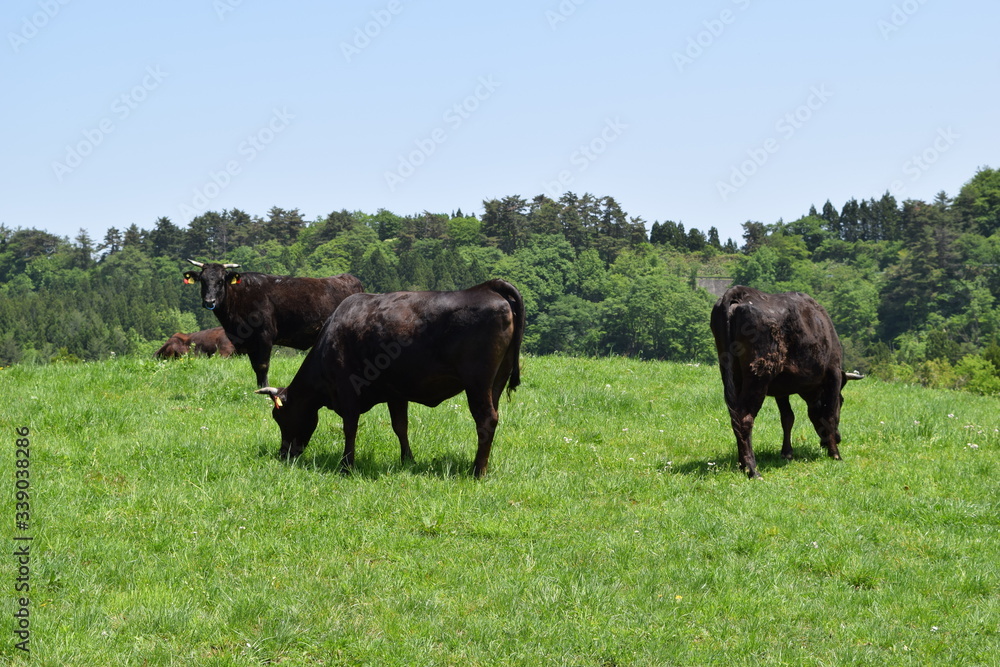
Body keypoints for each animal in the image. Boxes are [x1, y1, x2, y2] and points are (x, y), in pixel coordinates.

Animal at [184, 260, 364, 388]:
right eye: (202, 280)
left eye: (221, 281)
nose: (209, 301)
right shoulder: (249, 341)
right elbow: (255, 366)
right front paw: (258, 387)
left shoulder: (264, 335)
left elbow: (263, 365)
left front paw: (264, 389)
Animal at [256, 280, 524, 480]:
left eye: (279, 416)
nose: (284, 454)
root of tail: (488, 286)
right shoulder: (396, 394)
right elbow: (400, 426)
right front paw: (407, 460)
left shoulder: (347, 391)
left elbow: (350, 428)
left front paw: (346, 466)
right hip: (496, 382)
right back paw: (478, 465)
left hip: (477, 383)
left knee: (486, 419)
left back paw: (477, 471)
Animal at [708, 288, 864, 480]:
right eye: (842, 402)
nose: (839, 438)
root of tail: (741, 292)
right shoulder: (833, 373)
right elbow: (828, 416)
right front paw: (835, 454)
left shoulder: (781, 388)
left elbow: (788, 417)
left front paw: (787, 452)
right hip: (759, 376)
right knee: (744, 418)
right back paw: (752, 470)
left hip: (732, 375)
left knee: (735, 417)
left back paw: (741, 464)